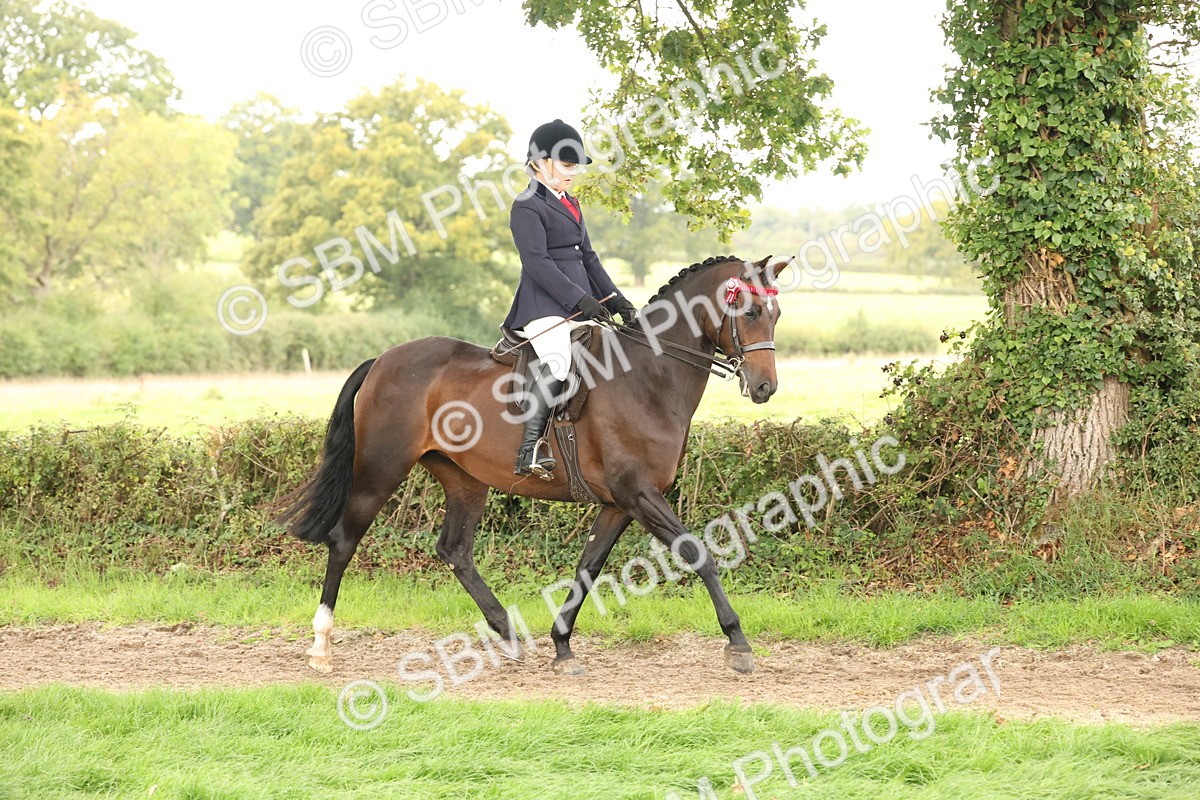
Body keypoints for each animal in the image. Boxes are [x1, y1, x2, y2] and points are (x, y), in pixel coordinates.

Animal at [274, 254, 791, 676]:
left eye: (776, 314)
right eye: (749, 312)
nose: (765, 387)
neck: (648, 376)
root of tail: (383, 359)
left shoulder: (619, 504)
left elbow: (588, 568)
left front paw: (562, 646)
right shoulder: (639, 493)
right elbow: (698, 554)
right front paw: (738, 643)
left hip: (464, 479)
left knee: (455, 550)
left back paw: (507, 634)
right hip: (380, 470)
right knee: (344, 541)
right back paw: (321, 646)